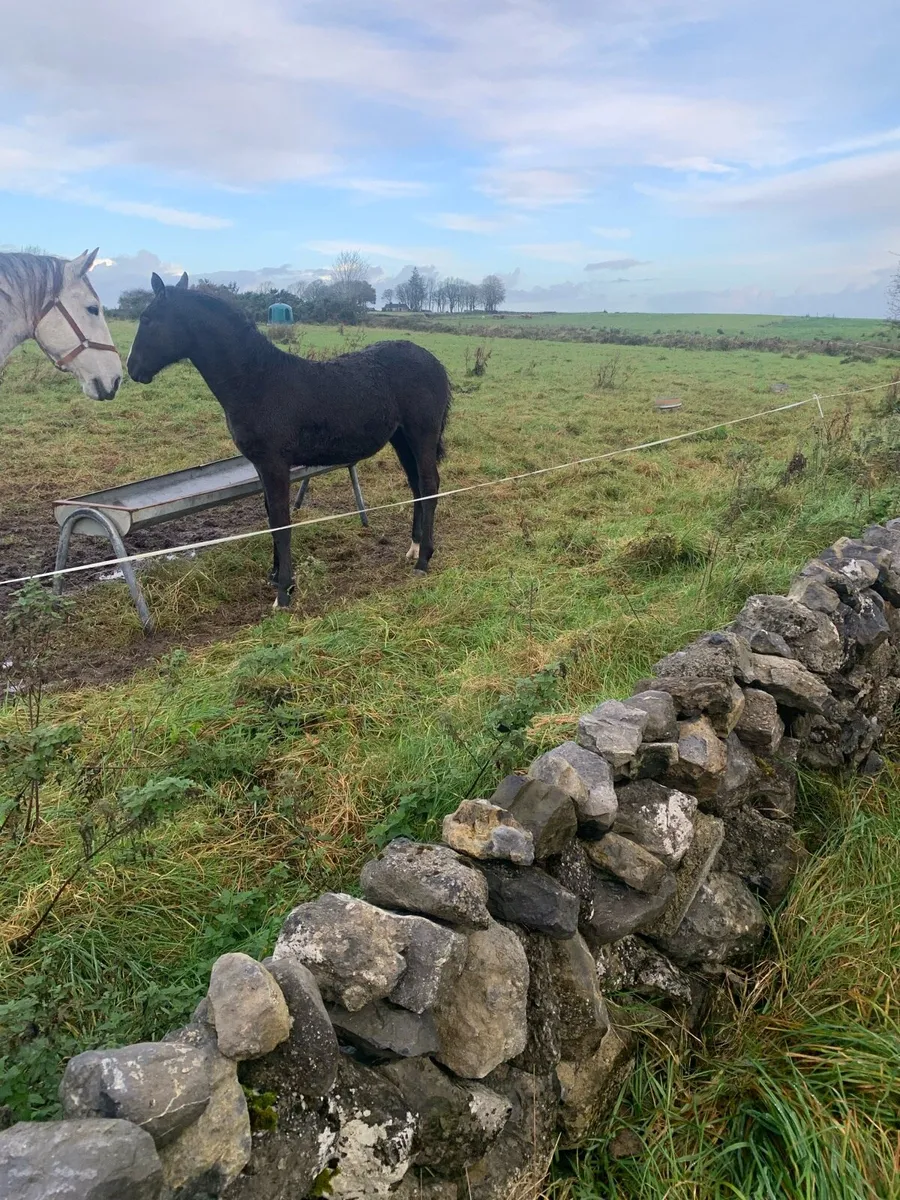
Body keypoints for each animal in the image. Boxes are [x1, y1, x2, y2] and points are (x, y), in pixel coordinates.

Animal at [126, 272, 452, 609]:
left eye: (147, 319)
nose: (132, 369)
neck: (257, 381)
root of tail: (435, 363)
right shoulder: (261, 466)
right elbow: (271, 518)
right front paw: (275, 577)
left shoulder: (275, 464)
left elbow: (282, 522)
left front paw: (283, 593)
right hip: (401, 439)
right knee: (417, 487)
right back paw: (414, 548)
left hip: (422, 434)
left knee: (430, 485)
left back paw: (423, 561)